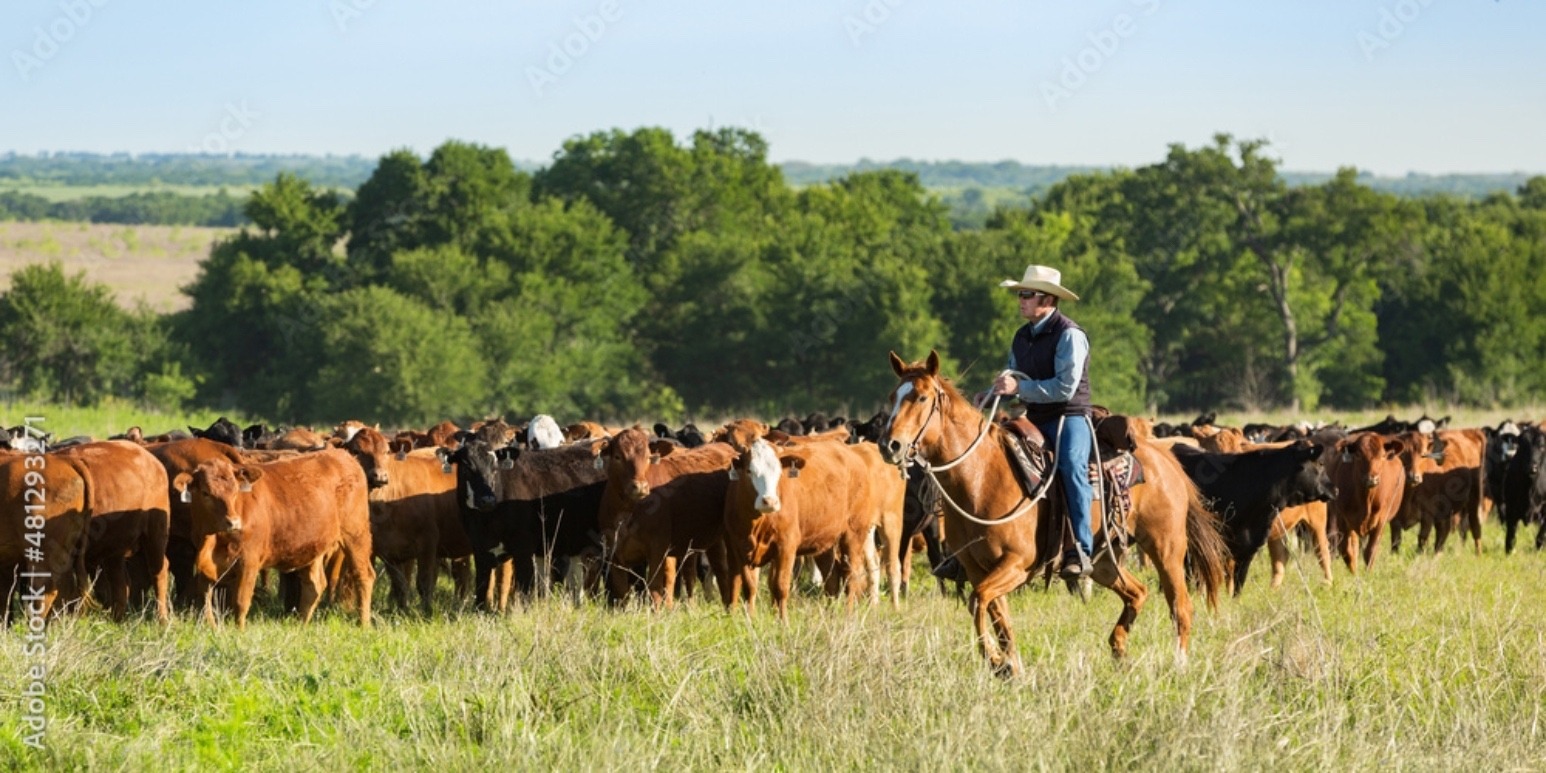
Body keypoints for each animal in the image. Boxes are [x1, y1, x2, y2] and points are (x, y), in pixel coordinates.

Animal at [173, 449, 375, 629]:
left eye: (235, 490)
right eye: (205, 493)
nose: (233, 522)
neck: (212, 538)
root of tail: (344, 455)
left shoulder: (248, 561)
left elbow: (240, 601)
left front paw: (239, 631)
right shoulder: (205, 563)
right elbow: (205, 600)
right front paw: (213, 629)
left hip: (356, 535)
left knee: (363, 575)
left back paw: (363, 623)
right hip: (315, 545)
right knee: (314, 585)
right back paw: (301, 626)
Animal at [1170, 441, 1334, 594]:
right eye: (1320, 463)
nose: (1334, 489)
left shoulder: (1249, 548)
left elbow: (1237, 585)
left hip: (1316, 524)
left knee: (1320, 552)